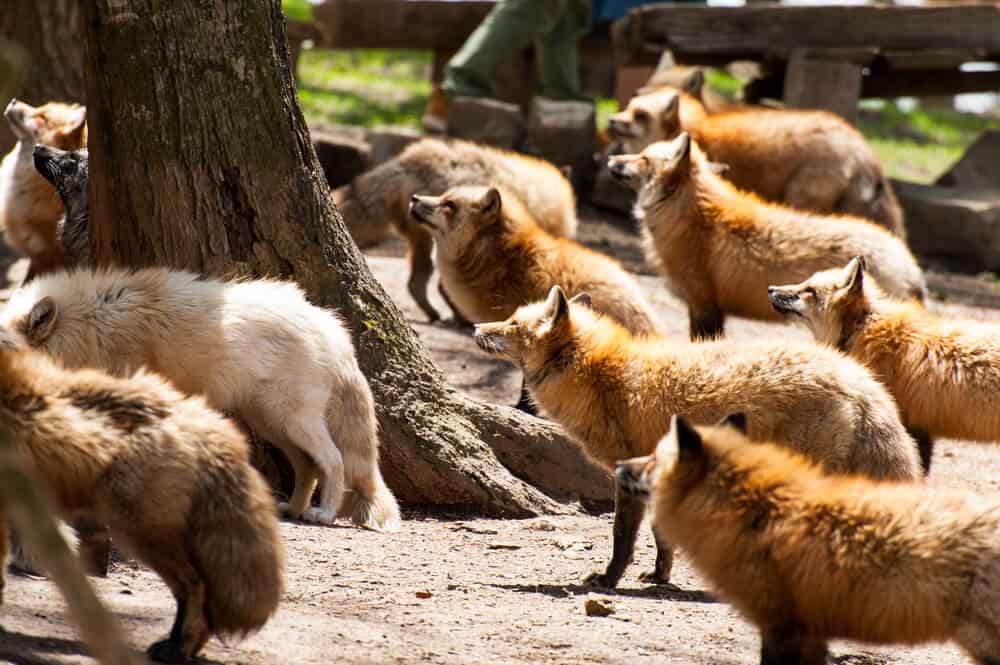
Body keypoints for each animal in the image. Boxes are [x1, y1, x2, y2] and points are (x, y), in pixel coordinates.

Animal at [0, 267, 400, 532]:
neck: (85, 328)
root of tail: (332, 326)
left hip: (290, 420)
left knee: (333, 460)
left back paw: (325, 514)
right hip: (271, 424)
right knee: (308, 467)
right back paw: (294, 508)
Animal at [334, 137, 578, 322]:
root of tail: (408, 161)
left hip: (422, 241)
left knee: (416, 283)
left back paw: (436, 314)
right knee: (439, 286)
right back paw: (461, 318)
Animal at [473, 286, 921, 589]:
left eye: (512, 324)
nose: (476, 326)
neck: (600, 376)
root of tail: (863, 382)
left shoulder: (627, 471)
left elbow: (623, 537)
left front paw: (608, 580)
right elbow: (662, 536)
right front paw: (660, 576)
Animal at [607, 70, 904, 236]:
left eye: (640, 115)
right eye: (629, 106)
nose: (610, 120)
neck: (699, 130)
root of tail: (863, 147)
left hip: (803, 197)